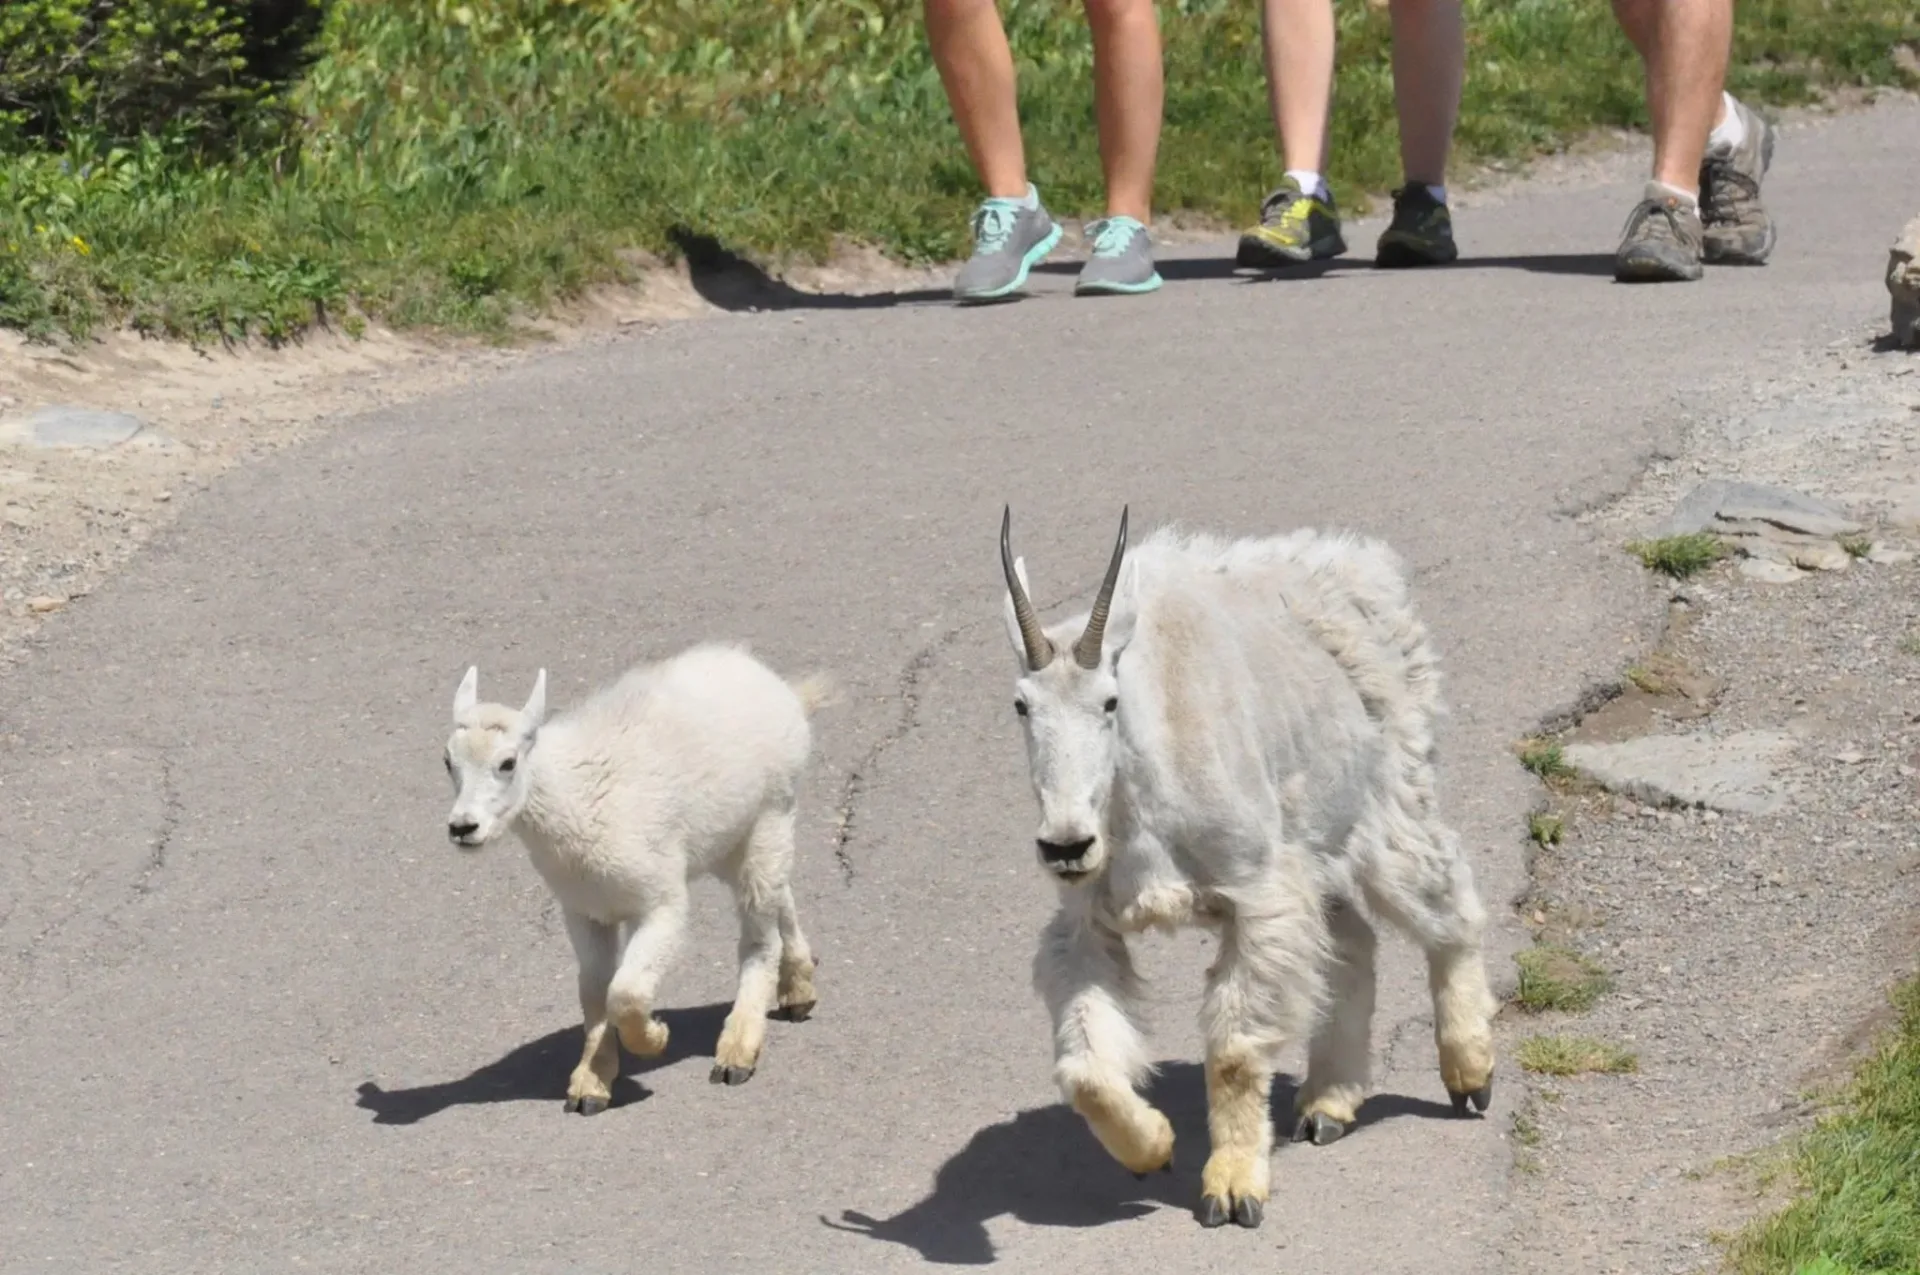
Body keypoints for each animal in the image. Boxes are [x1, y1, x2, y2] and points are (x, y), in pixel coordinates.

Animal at [443, 643, 836, 1113]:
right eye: (447, 761)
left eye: (507, 763)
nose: (463, 828)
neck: (575, 797)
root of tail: (780, 687)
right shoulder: (583, 909)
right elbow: (595, 989)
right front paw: (591, 1081)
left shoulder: (659, 902)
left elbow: (626, 992)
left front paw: (654, 1038)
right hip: (728, 836)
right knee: (780, 893)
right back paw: (798, 988)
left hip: (772, 811)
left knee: (759, 935)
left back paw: (738, 1050)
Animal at [997, 505, 1498, 1230]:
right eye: (1021, 705)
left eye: (1109, 702)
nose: (1066, 845)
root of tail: (1362, 564)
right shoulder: (1091, 920)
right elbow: (1087, 1071)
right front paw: (1153, 1148)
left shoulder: (1259, 892)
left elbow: (1234, 1053)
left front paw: (1232, 1189)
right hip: (1317, 842)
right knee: (1353, 942)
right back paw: (1329, 1102)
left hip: (1388, 806)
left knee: (1447, 903)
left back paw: (1469, 1070)